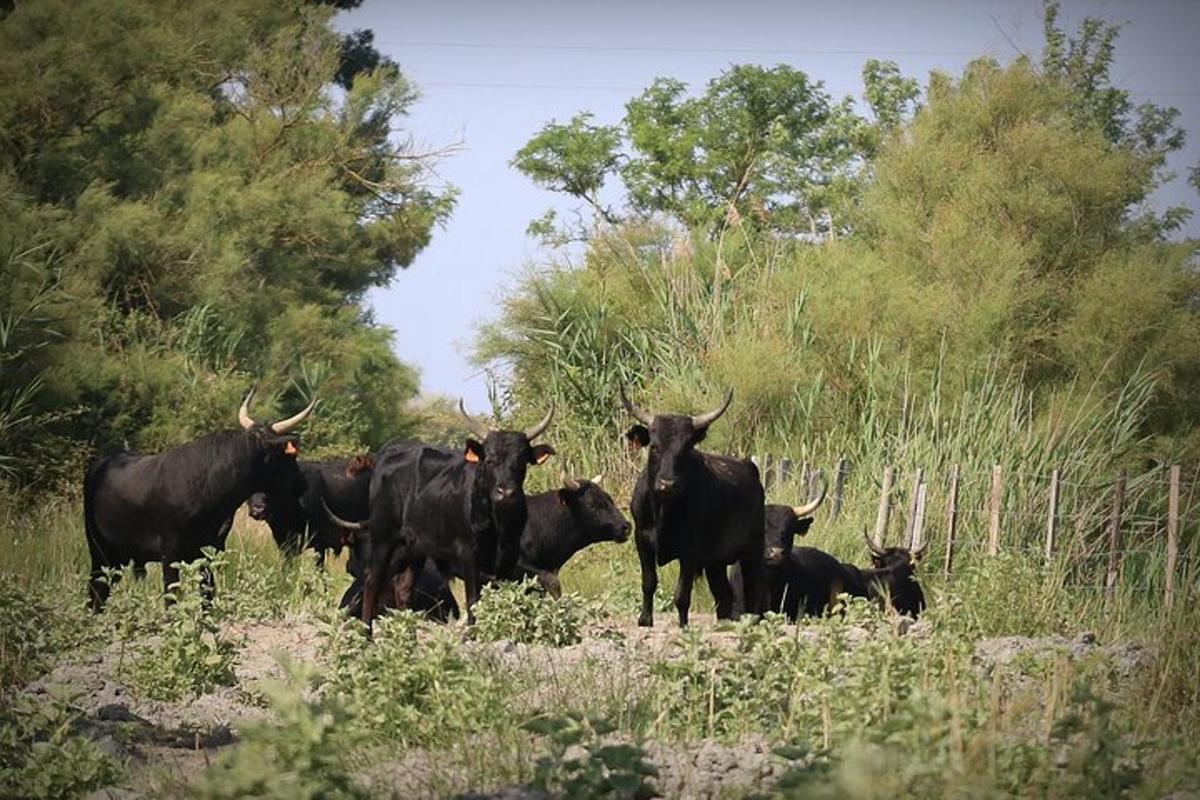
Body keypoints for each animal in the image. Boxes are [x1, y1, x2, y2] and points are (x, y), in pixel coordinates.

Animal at [83, 391, 314, 609]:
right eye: (288, 455)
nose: (301, 483)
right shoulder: (170, 553)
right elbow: (172, 597)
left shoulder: (210, 551)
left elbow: (208, 597)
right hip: (99, 551)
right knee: (96, 592)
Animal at [357, 402, 554, 628]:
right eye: (489, 460)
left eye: (522, 460)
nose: (506, 492)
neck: (498, 522)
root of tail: (389, 451)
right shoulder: (469, 556)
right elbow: (473, 601)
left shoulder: (508, 558)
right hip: (383, 538)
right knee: (373, 581)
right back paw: (366, 631)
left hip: (414, 548)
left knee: (403, 587)